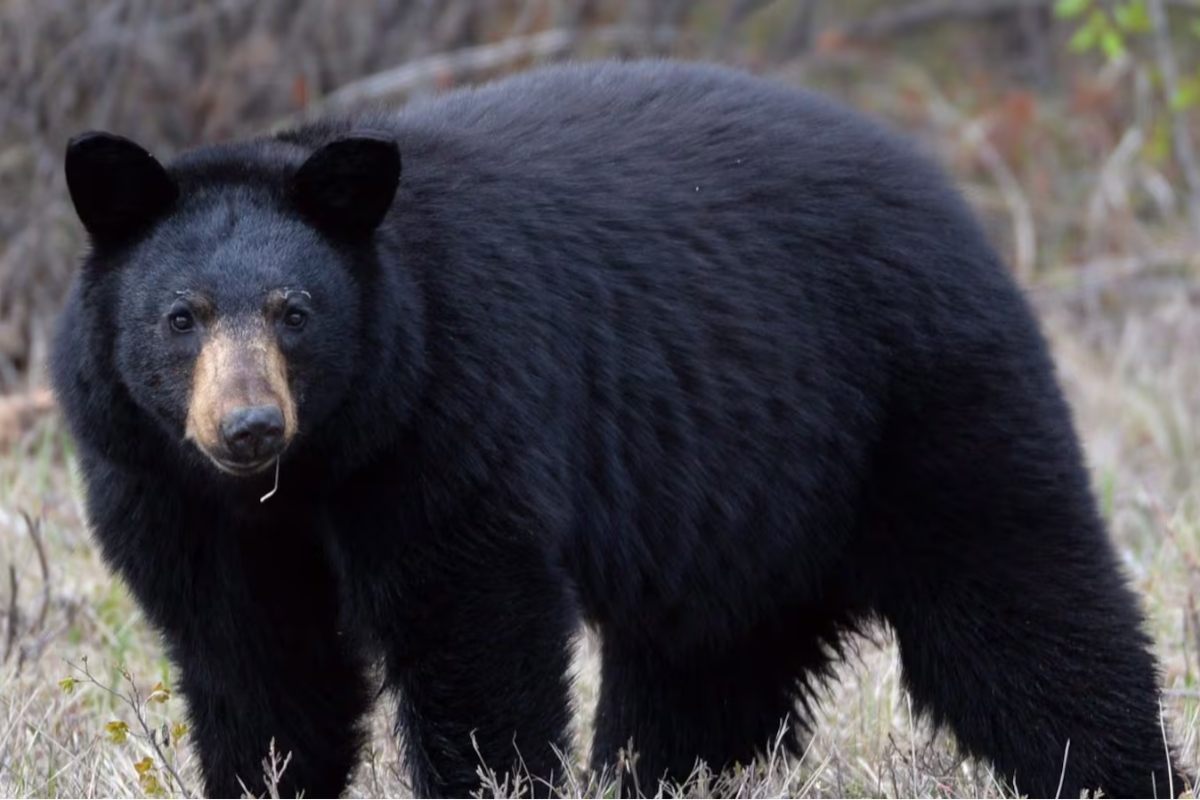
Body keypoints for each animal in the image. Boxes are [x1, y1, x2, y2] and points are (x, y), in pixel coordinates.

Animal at [51, 58, 1186, 799]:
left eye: (295, 312)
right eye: (182, 316)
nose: (248, 425)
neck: (313, 468)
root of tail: (949, 200)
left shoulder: (448, 416)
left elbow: (472, 624)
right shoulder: (164, 486)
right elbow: (254, 660)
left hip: (921, 405)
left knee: (1026, 610)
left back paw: (1121, 771)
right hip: (742, 509)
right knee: (705, 678)